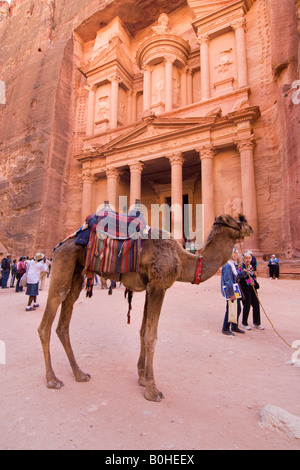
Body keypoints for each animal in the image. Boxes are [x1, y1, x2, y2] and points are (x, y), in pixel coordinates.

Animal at [38, 213, 253, 400]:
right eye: (237, 220)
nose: (250, 228)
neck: (182, 259)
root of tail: (60, 245)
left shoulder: (151, 287)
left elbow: (143, 332)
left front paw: (141, 377)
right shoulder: (158, 286)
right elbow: (151, 336)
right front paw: (152, 389)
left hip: (77, 271)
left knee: (64, 320)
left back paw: (80, 374)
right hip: (63, 262)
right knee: (47, 320)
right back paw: (52, 380)